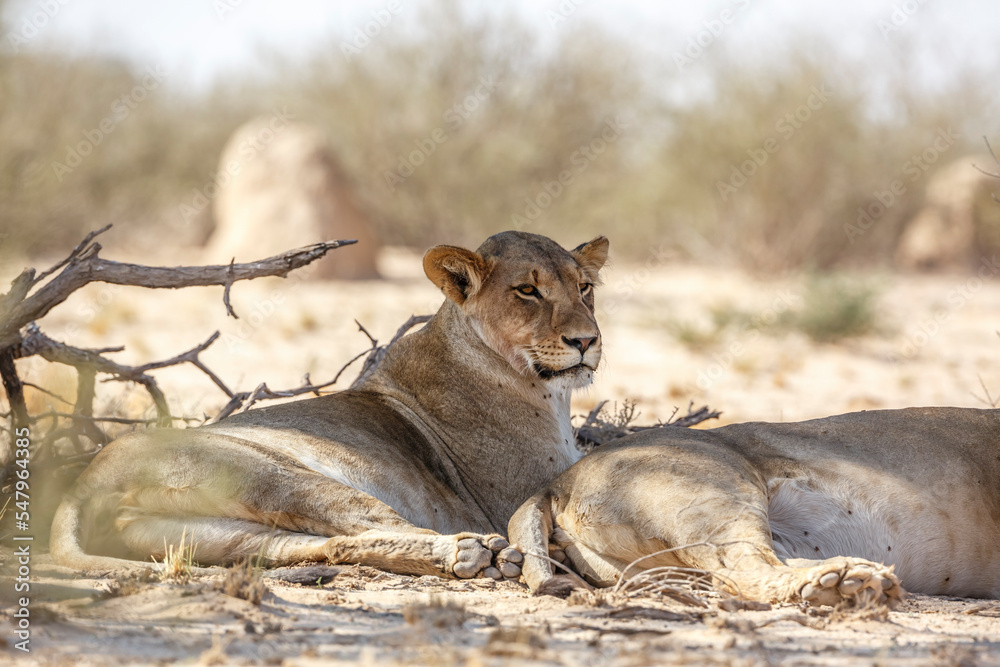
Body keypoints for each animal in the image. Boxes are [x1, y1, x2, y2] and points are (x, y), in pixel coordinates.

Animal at [50, 231, 609, 580]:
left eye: (585, 288)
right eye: (527, 291)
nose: (586, 340)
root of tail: (85, 479)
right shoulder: (522, 489)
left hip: (207, 533)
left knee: (321, 544)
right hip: (278, 475)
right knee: (377, 523)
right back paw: (476, 551)